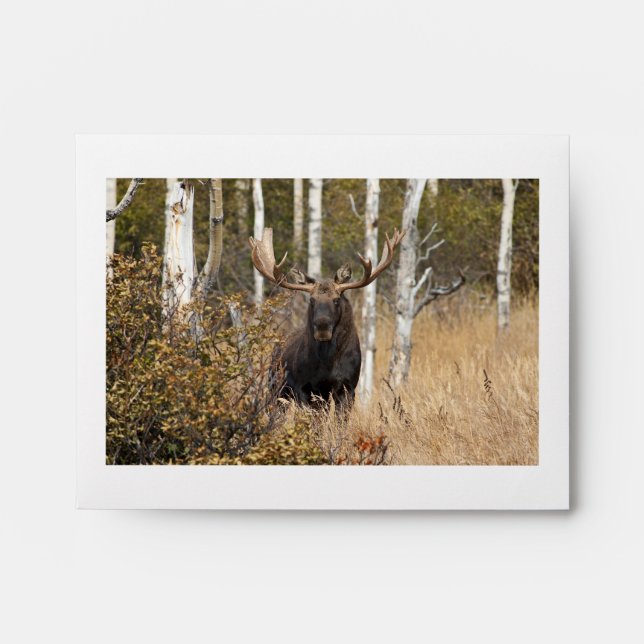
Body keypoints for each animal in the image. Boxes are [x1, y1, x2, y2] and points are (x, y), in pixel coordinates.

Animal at [249, 228, 404, 409]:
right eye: (311, 300)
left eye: (336, 299)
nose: (322, 327)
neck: (328, 363)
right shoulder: (306, 388)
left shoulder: (348, 387)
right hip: (276, 387)